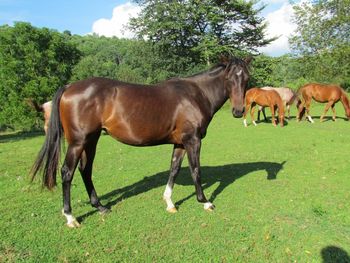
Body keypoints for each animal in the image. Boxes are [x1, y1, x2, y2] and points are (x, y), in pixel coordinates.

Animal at [29, 56, 249, 228]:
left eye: (247, 78)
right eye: (229, 78)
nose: (238, 111)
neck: (195, 94)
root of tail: (69, 87)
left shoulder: (180, 143)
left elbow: (174, 169)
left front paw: (169, 203)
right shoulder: (192, 140)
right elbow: (196, 170)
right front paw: (205, 202)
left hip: (91, 140)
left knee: (85, 170)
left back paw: (100, 206)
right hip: (78, 142)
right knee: (67, 172)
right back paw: (70, 217)